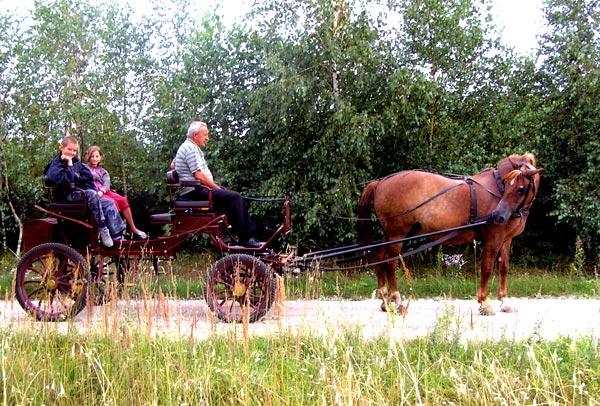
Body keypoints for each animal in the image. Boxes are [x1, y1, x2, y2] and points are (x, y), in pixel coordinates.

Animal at [356, 152, 544, 314]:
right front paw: (484, 302)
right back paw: (397, 300)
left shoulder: (505, 240)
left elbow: (504, 267)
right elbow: (487, 267)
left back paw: (385, 300)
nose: (498, 215)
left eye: (520, 189)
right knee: (391, 263)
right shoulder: (493, 239)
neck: (497, 189)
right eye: (508, 184)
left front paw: (504, 302)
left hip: (392, 235)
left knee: (381, 258)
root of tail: (380, 182)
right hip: (397, 234)